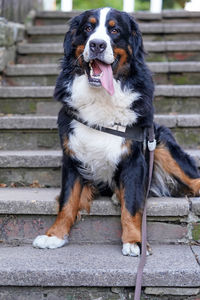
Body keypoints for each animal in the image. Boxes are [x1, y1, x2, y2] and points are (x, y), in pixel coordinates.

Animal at [32, 6, 200, 255]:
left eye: (114, 30)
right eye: (88, 28)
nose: (97, 45)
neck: (101, 97)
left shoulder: (134, 159)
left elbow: (131, 206)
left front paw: (134, 241)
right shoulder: (72, 156)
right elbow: (67, 201)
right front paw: (54, 235)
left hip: (160, 142)